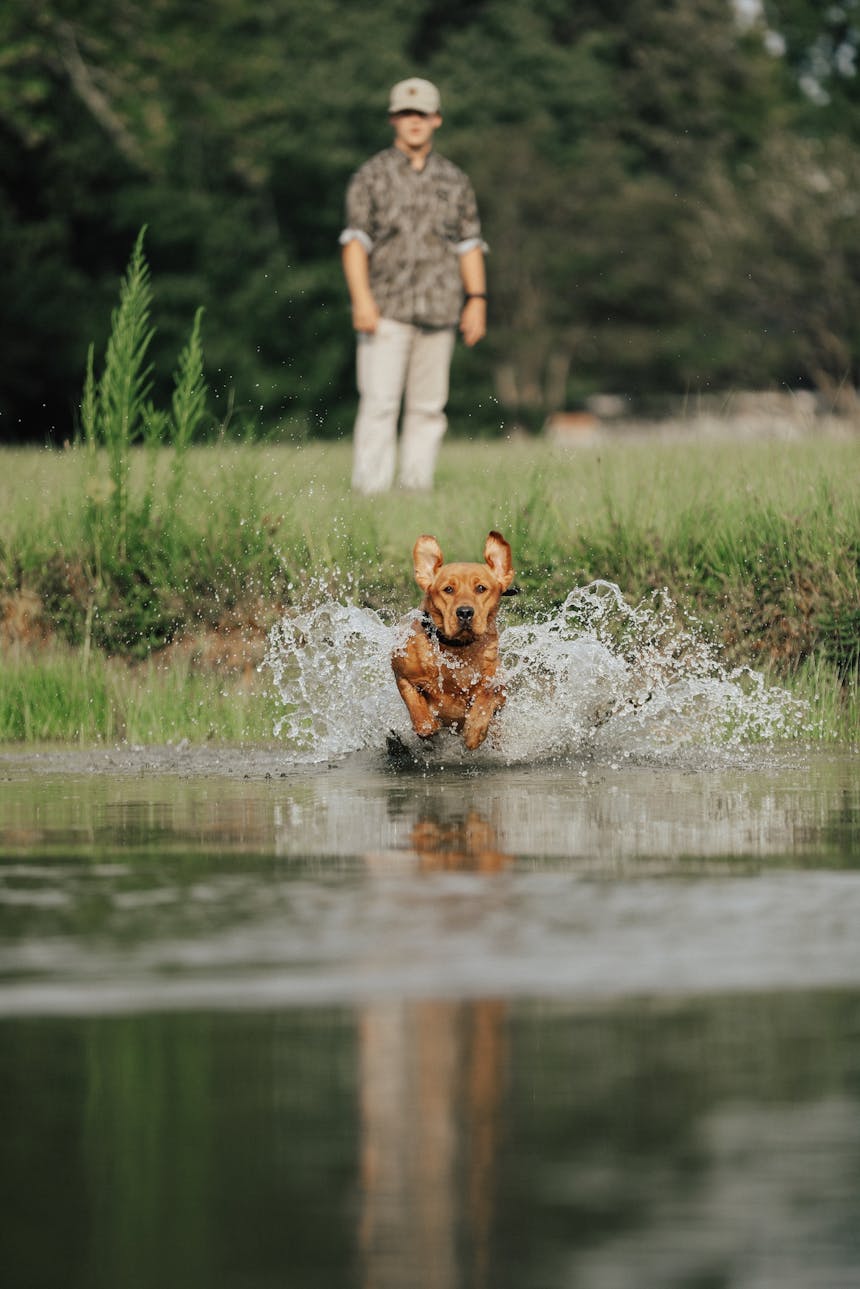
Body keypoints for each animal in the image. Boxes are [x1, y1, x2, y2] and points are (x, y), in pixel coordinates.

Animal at [391, 531, 515, 752]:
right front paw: (427, 725)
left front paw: (474, 732)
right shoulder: (402, 672)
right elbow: (415, 704)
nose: (465, 612)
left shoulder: (494, 681)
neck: (456, 651)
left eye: (481, 588)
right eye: (448, 589)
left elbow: (485, 699)